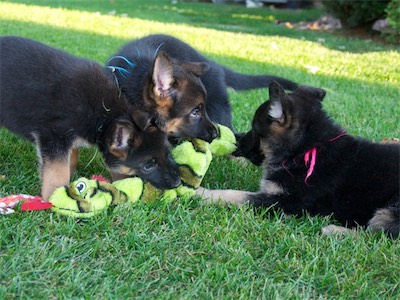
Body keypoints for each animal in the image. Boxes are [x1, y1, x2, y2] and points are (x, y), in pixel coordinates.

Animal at [0, 36, 180, 202]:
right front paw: (55, 199)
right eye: (148, 166)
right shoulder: (53, 136)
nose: (177, 183)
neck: (106, 114)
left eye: (168, 153)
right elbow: (57, 173)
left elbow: (71, 158)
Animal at [198, 81, 400, 238]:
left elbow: (236, 195)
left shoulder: (286, 201)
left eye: (255, 130)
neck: (305, 149)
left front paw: (203, 193)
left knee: (380, 236)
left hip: (391, 208)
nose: (236, 142)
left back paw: (337, 231)